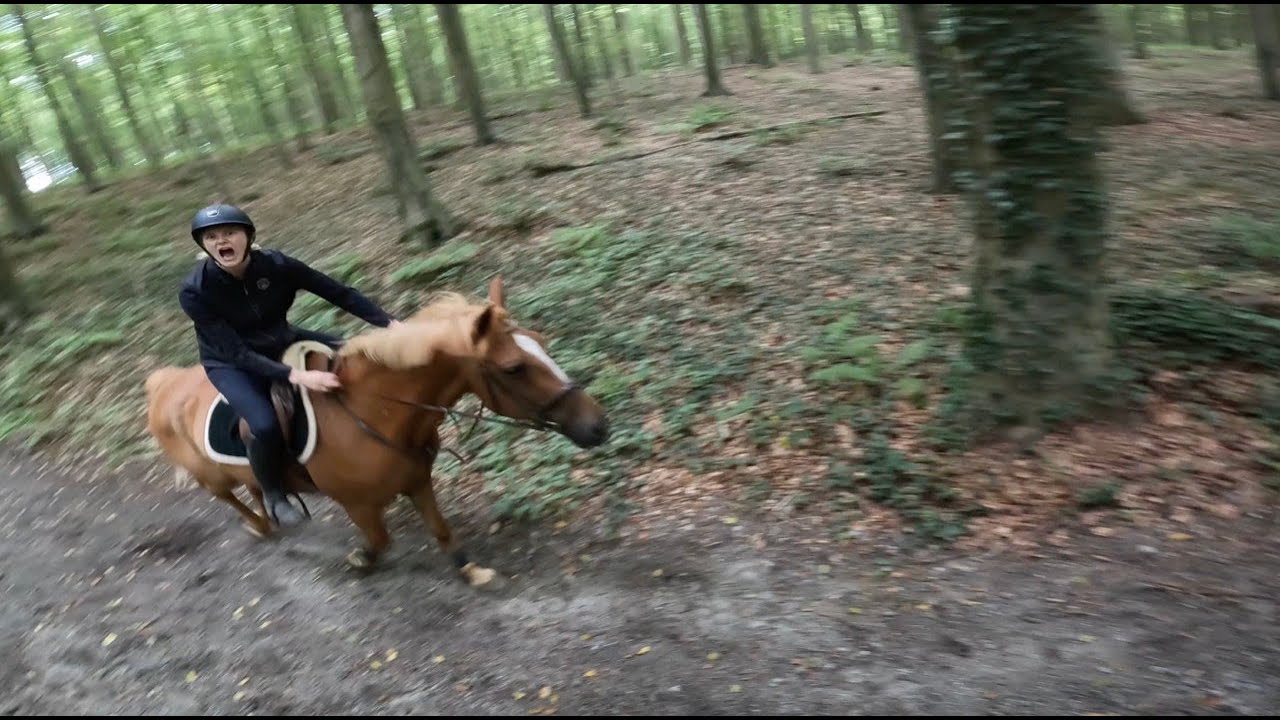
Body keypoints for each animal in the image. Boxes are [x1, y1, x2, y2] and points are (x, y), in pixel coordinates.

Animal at [144, 275, 609, 586]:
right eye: (514, 368)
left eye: (540, 340)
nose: (598, 425)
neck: (375, 414)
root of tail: (163, 383)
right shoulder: (358, 504)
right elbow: (380, 539)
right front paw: (361, 559)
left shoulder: (418, 480)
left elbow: (441, 529)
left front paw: (469, 569)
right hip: (210, 476)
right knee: (231, 497)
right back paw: (261, 524)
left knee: (256, 486)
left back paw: (272, 517)